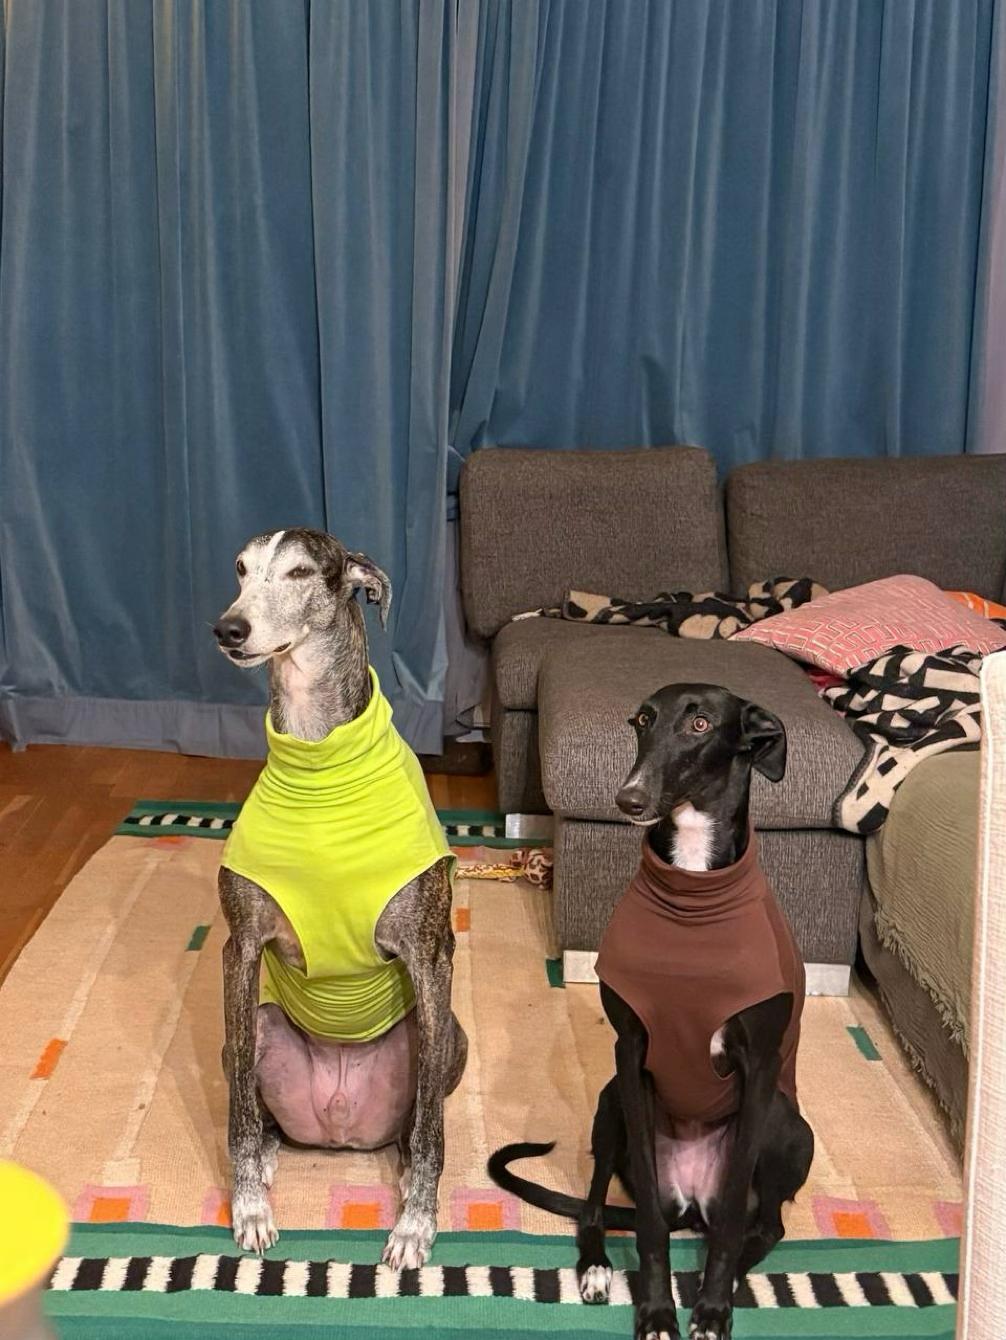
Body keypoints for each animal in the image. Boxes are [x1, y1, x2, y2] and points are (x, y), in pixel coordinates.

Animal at [214, 527, 467, 1268]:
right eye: (241, 570)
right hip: (253, 1031)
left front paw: (415, 1224)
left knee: (418, 1121)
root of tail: (339, 1127)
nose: (229, 629)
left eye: (301, 572)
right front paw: (249, 1205)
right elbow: (239, 1114)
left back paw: (405, 1169)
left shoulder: (430, 958)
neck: (320, 761)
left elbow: (433, 1129)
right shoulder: (240, 950)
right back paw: (272, 1155)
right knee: (258, 1108)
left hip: (447, 1037)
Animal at [489, 684, 814, 1340]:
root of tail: (691, 1200)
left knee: (762, 1223)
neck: (692, 886)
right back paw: (595, 1269)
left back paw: (734, 1275)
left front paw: (711, 1308)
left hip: (788, 1124)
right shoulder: (631, 1051)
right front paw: (659, 1311)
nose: (629, 798)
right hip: (612, 1100)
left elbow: (733, 1227)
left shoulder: (761, 1066)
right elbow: (647, 1229)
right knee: (598, 1209)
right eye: (642, 721)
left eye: (700, 723)